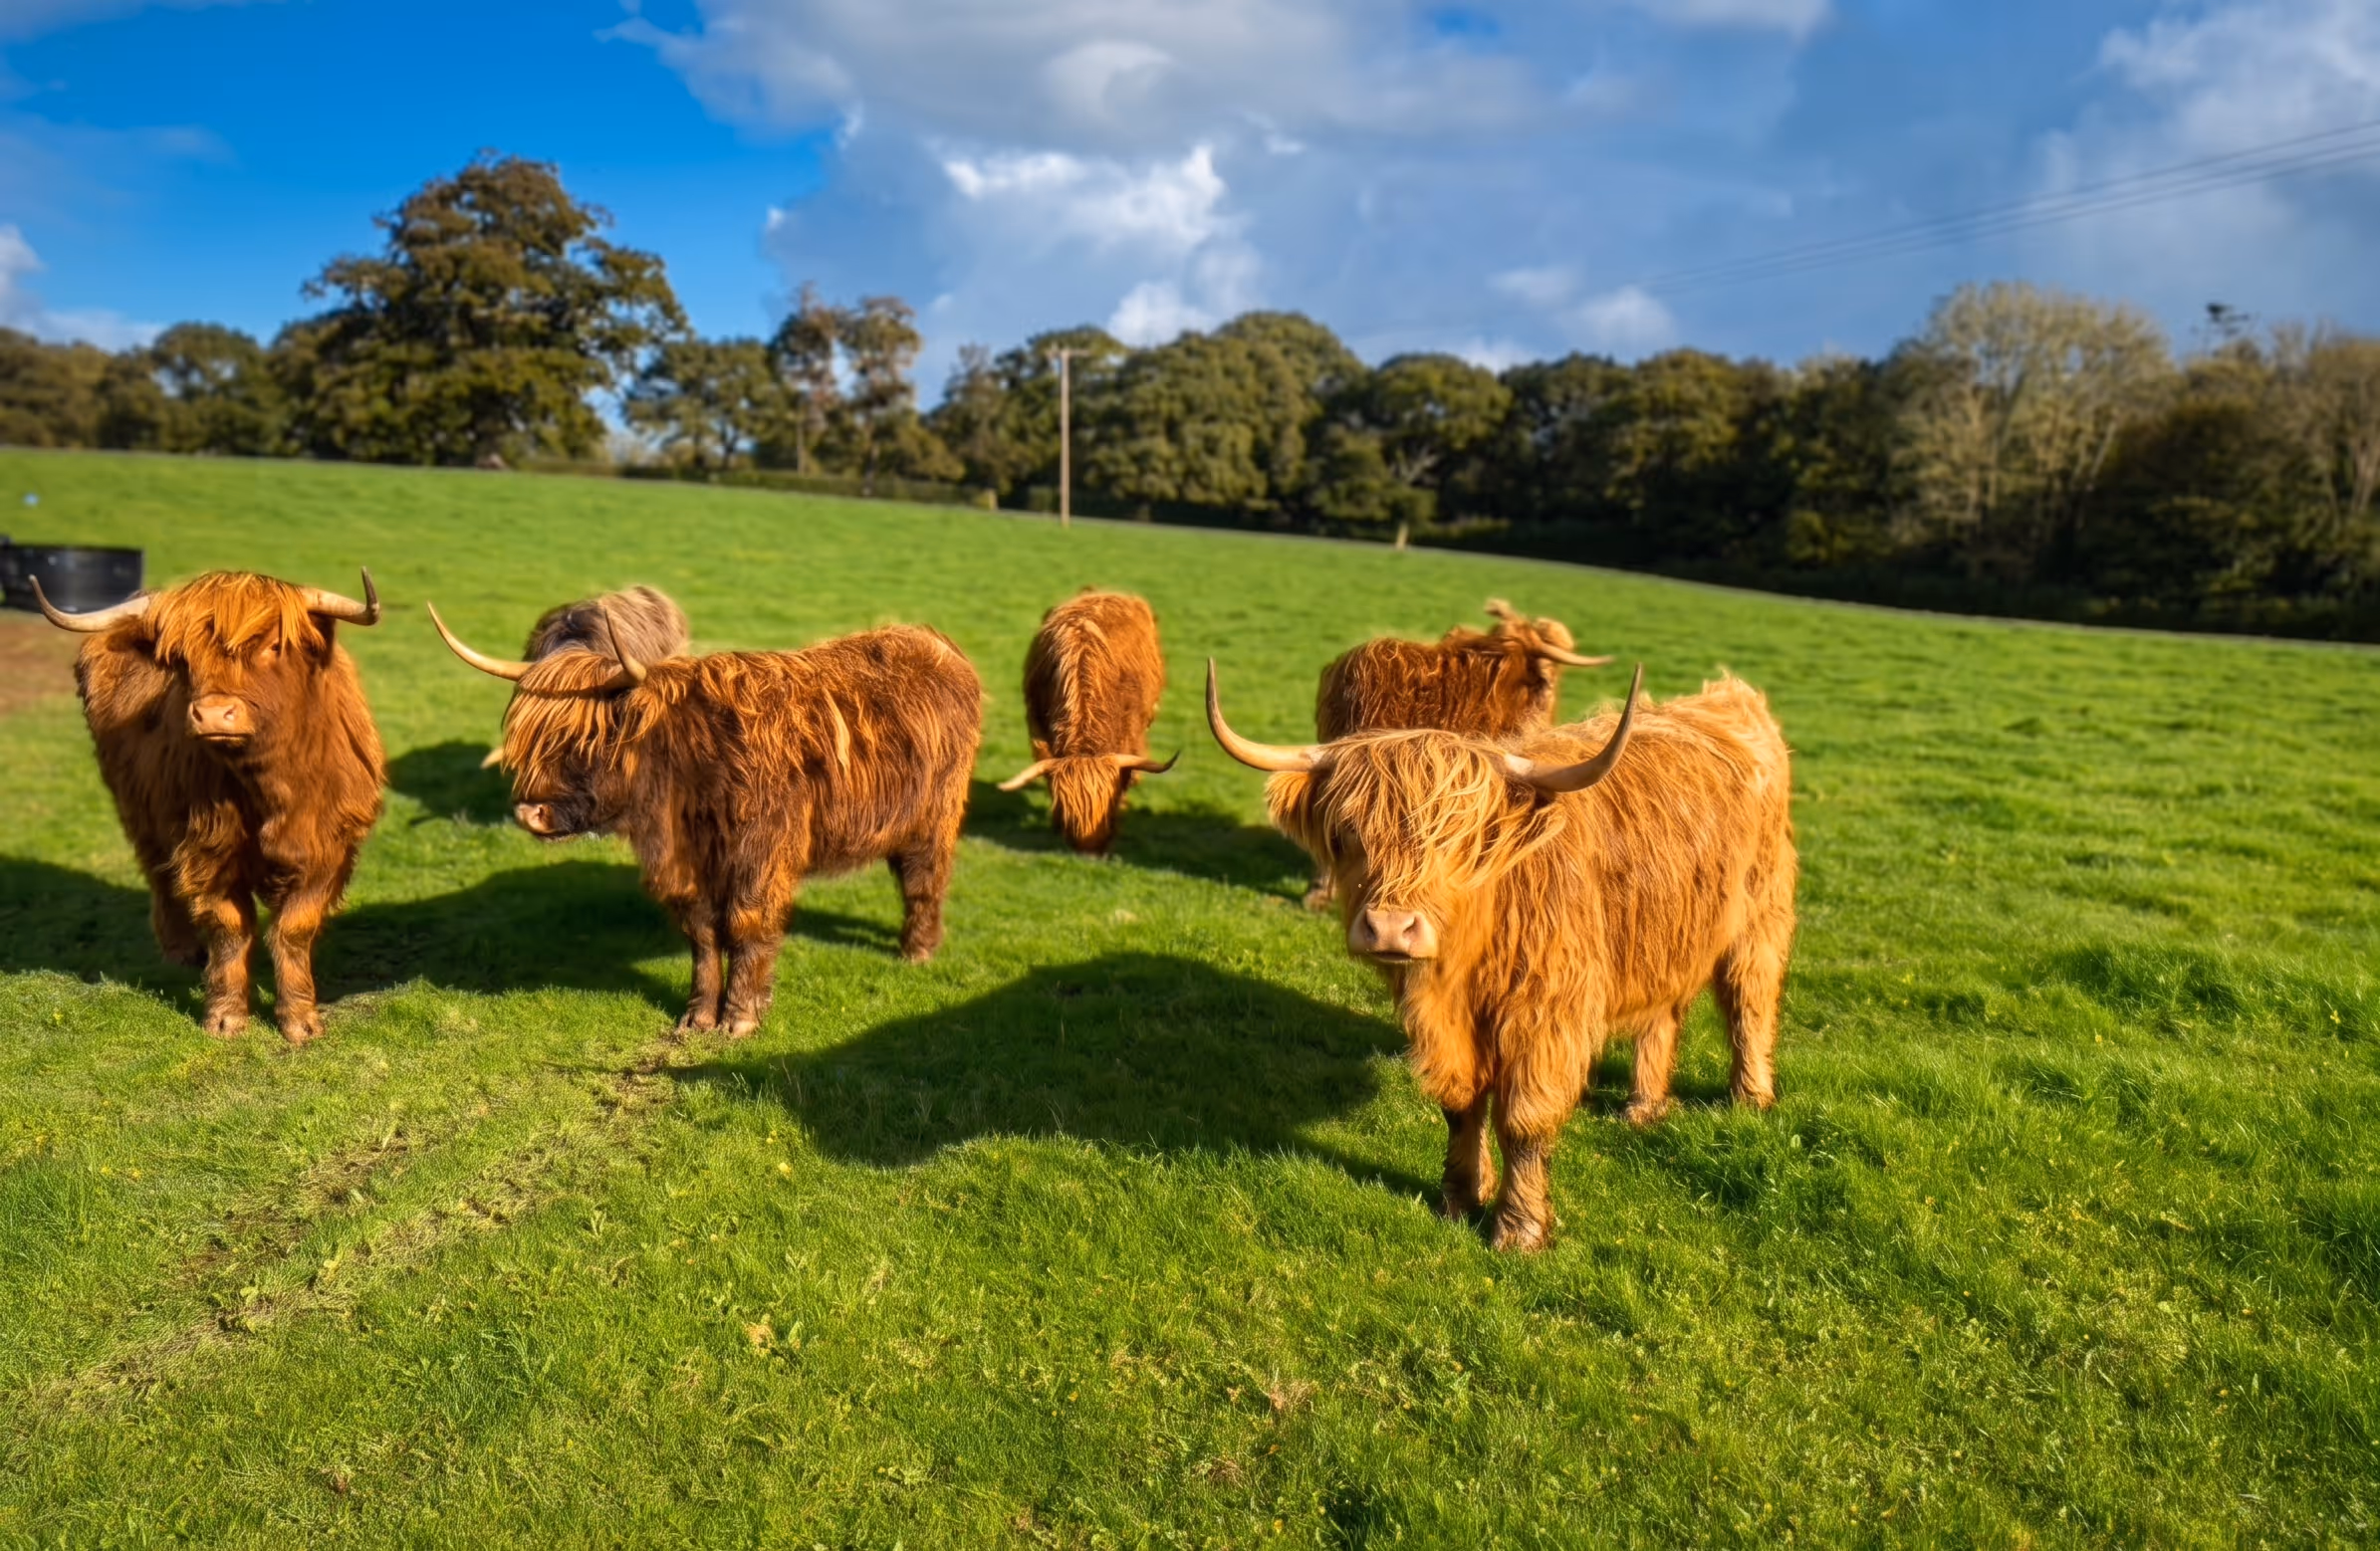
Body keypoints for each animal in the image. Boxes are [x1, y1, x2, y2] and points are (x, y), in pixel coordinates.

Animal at [35, 569, 387, 1044]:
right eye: (182, 660)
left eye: (272, 646)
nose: (214, 714)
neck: (269, 789)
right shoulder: (208, 849)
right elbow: (229, 928)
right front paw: (225, 1016)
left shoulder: (327, 848)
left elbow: (294, 929)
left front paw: (299, 1020)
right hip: (139, 810)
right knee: (159, 876)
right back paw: (181, 949)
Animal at [429, 603, 982, 1037]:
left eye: (590, 739)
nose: (531, 812)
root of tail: (932, 641)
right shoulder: (689, 868)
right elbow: (702, 934)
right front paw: (699, 1016)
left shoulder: (760, 857)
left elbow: (746, 923)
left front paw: (740, 1017)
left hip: (936, 817)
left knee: (924, 881)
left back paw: (917, 950)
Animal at [1208, 660, 1795, 1252]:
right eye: (1348, 833)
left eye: (1455, 838)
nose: (1391, 928)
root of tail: (1727, 697)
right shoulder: (1439, 1019)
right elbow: (1460, 1103)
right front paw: (1459, 1196)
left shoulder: (1545, 1013)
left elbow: (1524, 1120)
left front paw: (1519, 1228)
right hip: (1663, 935)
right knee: (1662, 1014)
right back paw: (1644, 1107)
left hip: (1759, 915)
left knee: (1749, 1000)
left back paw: (1750, 1098)